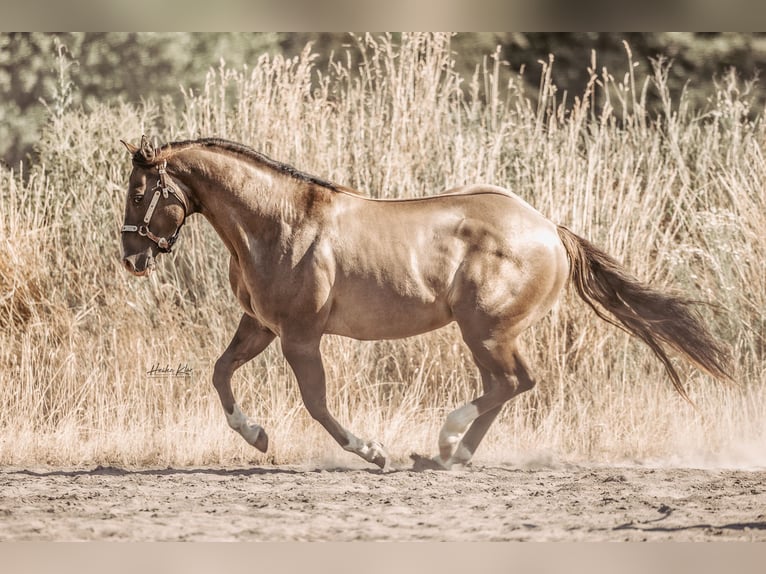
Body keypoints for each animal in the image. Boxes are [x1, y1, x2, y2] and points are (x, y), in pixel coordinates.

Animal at [120, 135, 731, 471]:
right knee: (508, 385)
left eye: (138, 191)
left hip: (484, 330)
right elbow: (220, 372)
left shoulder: (299, 336)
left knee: (511, 383)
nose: (131, 256)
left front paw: (372, 451)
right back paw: (449, 454)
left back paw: (444, 443)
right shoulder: (260, 325)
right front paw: (257, 435)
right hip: (490, 334)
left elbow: (316, 403)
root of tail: (549, 230)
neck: (279, 223)